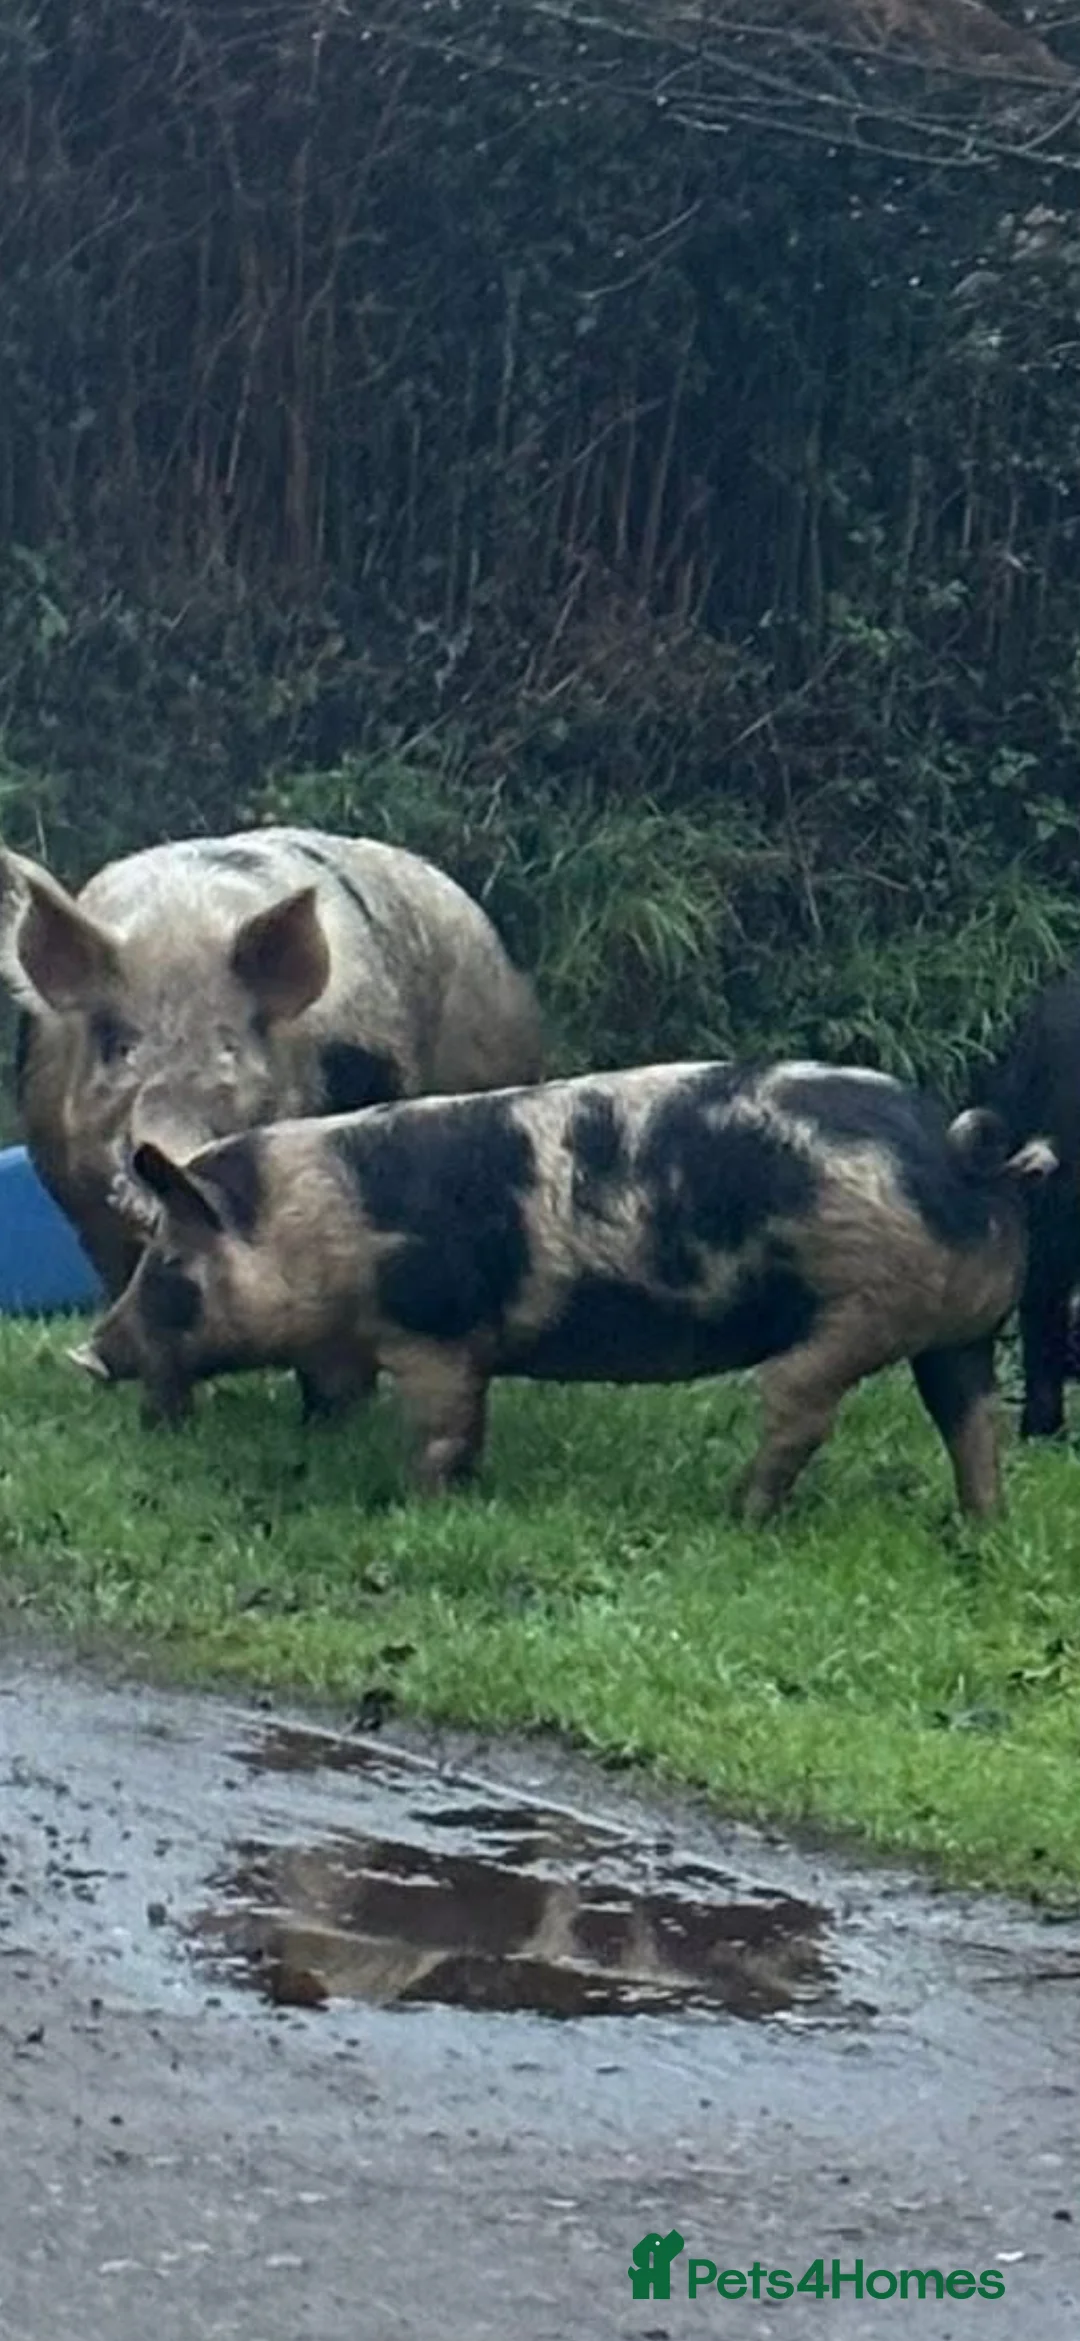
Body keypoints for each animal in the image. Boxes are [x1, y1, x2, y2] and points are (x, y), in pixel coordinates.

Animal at [70, 1058, 1056, 1522]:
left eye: (168, 1264)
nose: (90, 1352)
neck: (317, 1224)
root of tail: (968, 1160)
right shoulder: (458, 1350)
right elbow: (465, 1425)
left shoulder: (434, 1333)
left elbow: (437, 1427)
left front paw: (412, 1502)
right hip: (958, 1327)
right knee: (970, 1421)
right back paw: (982, 1528)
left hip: (858, 1307)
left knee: (802, 1404)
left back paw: (736, 1513)